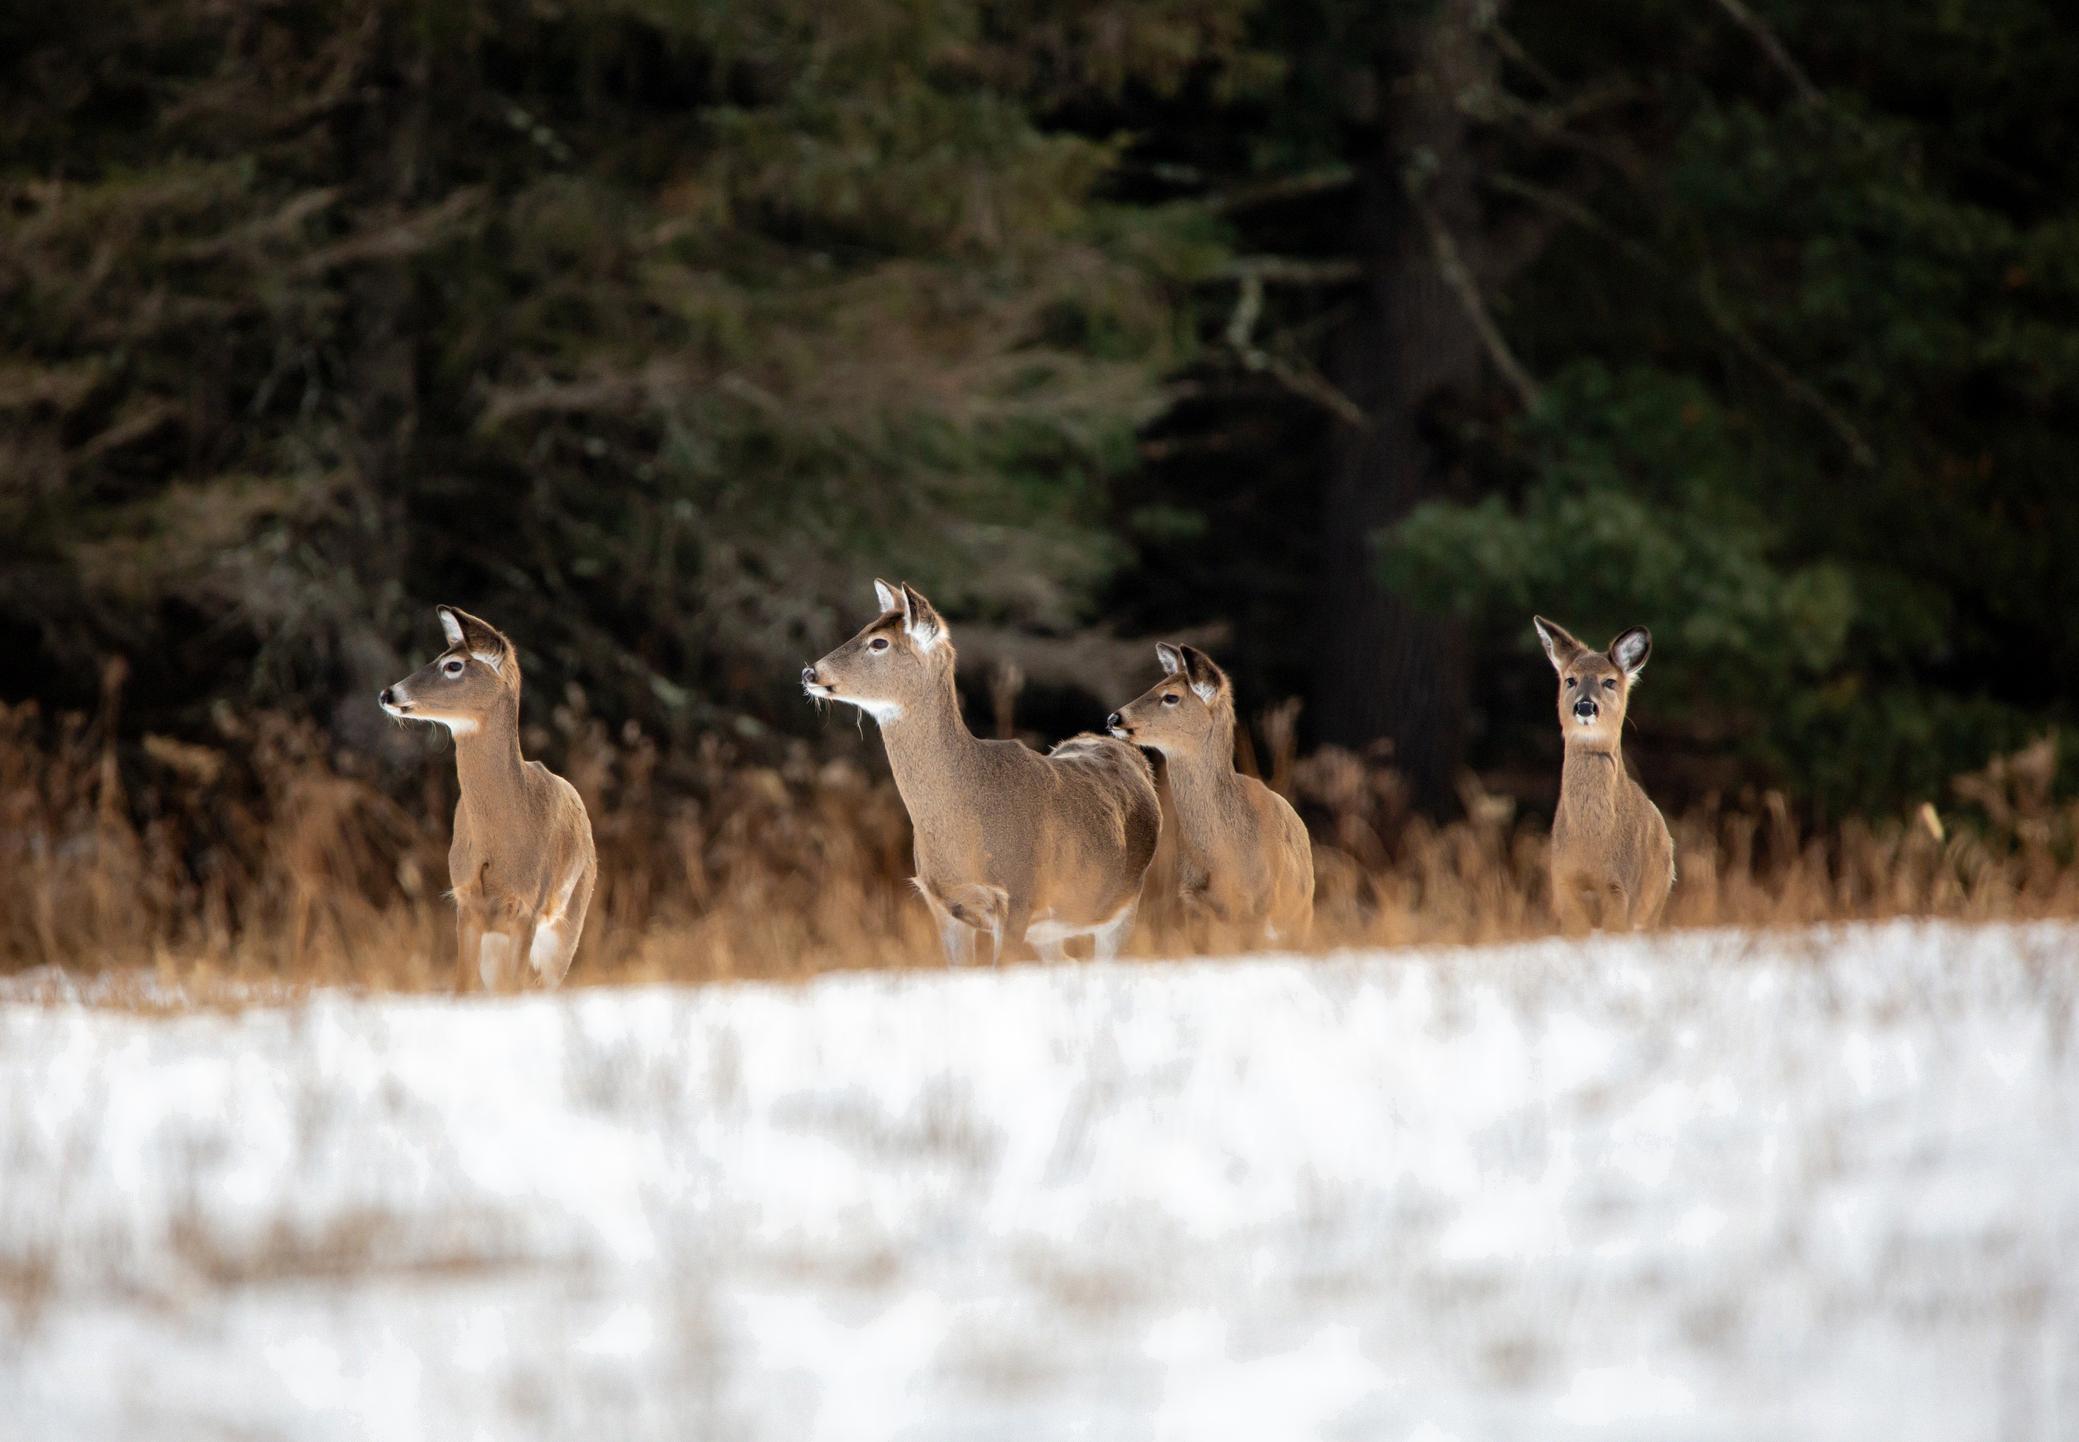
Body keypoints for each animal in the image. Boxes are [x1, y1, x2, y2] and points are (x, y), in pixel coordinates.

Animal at [378, 606, 594, 993]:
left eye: (453, 665)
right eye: (439, 655)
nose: (388, 693)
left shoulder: (527, 907)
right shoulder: (467, 904)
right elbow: (462, 988)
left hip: (567, 924)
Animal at [798, 577, 1164, 972]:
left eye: (879, 642)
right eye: (863, 629)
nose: (810, 672)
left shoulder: (1018, 895)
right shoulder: (943, 904)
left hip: (1124, 904)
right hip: (1053, 931)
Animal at [1538, 610, 1679, 930]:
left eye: (1610, 682)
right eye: (1570, 679)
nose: (1585, 706)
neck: (1592, 842)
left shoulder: (1623, 887)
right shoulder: (1563, 884)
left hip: (1655, 899)